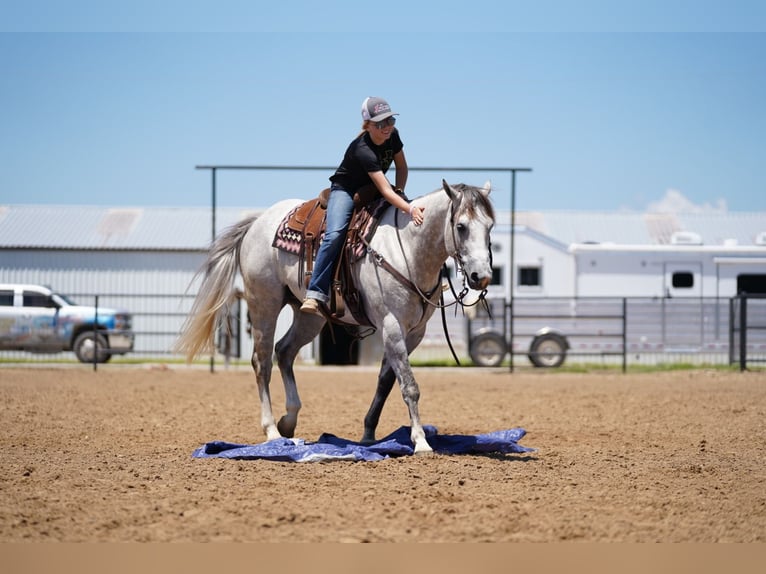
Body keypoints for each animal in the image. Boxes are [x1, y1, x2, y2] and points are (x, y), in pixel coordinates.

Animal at [176, 180, 496, 454]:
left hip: (310, 315)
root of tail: (257, 222)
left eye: (490, 226)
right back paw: (272, 431)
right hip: (263, 303)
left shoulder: (413, 333)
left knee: (285, 351)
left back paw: (289, 421)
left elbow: (385, 382)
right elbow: (409, 386)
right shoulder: (391, 326)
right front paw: (420, 441)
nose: (481, 277)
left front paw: (368, 434)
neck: (407, 248)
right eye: (461, 226)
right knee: (262, 361)